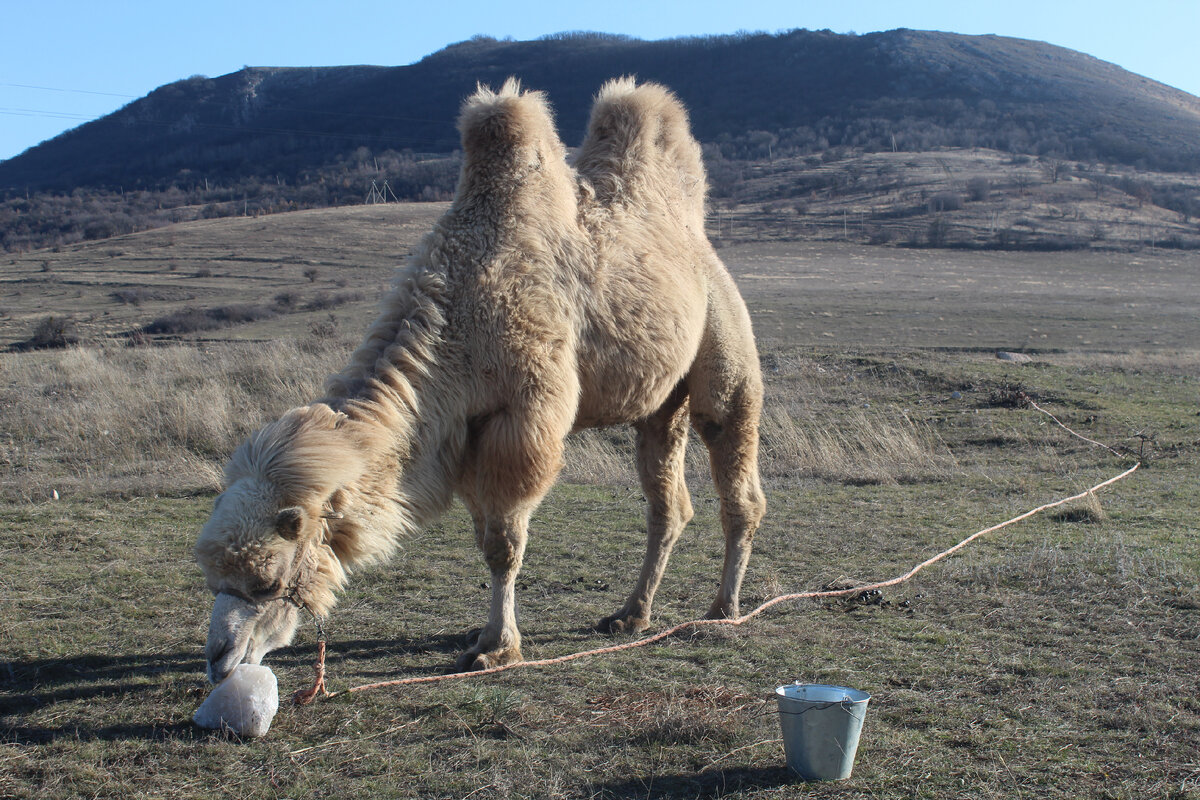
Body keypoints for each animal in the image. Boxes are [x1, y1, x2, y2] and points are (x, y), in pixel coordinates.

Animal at [192, 79, 763, 681]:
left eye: (267, 581)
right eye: (213, 576)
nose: (219, 659)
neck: (457, 316)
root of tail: (697, 237)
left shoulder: (520, 419)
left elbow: (504, 543)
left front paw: (496, 647)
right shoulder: (459, 428)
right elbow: (480, 535)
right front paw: (484, 631)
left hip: (724, 337)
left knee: (733, 464)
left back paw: (723, 608)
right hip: (658, 403)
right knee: (667, 503)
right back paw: (632, 614)